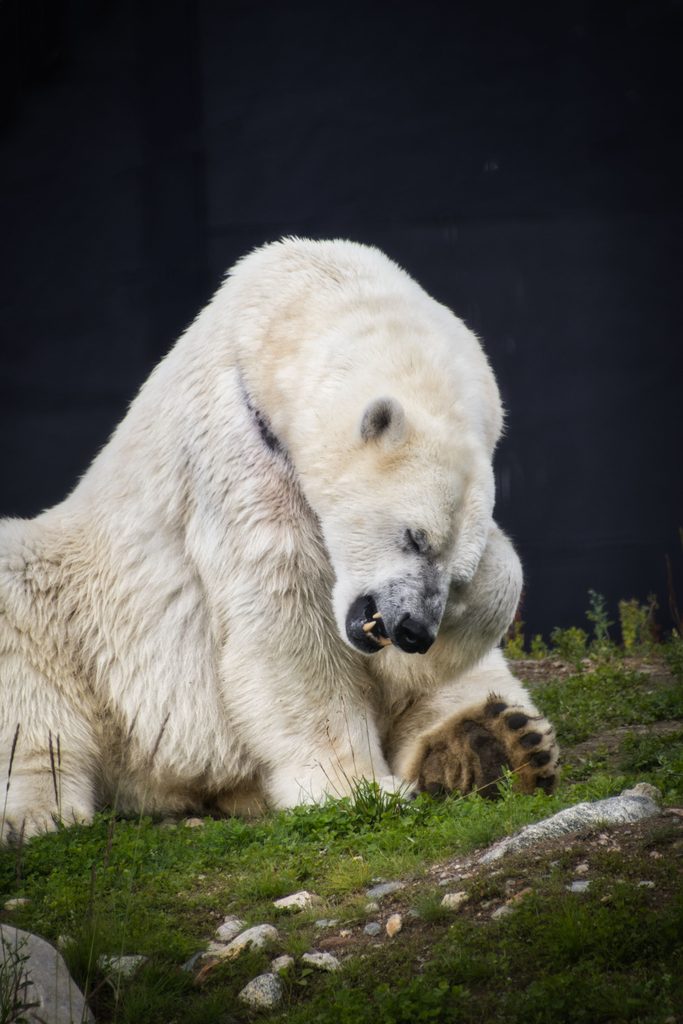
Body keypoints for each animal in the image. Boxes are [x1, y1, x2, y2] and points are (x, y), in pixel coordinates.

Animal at [0, 238, 559, 842]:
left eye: (456, 574)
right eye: (414, 536)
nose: (414, 630)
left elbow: (490, 592)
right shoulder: (240, 454)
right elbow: (287, 619)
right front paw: (354, 786)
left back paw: (495, 744)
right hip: (84, 615)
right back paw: (39, 811)